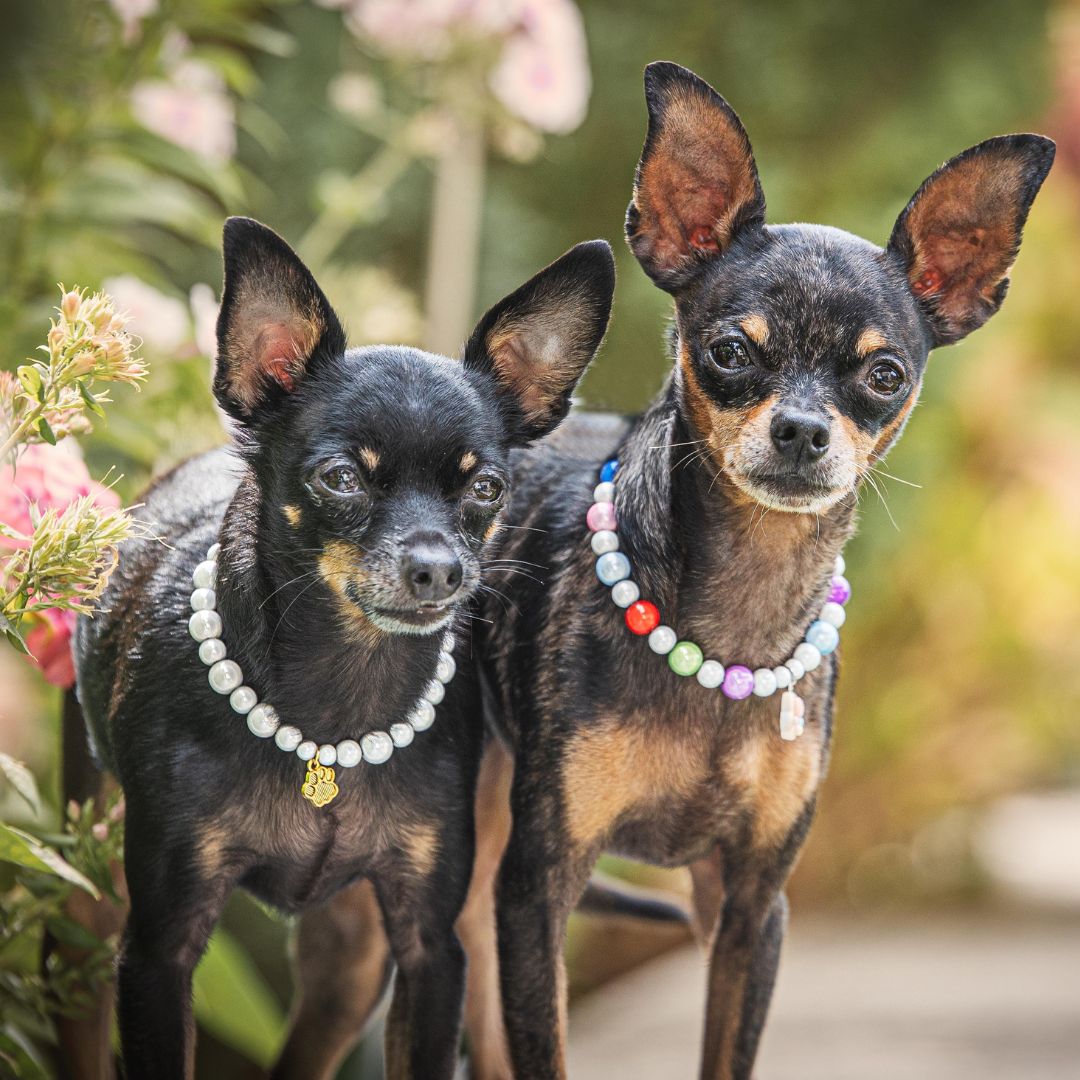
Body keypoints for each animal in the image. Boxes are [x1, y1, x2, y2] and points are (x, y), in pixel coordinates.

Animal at [73, 219, 617, 1080]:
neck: (337, 703)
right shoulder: (159, 953)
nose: (439, 568)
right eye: (340, 479)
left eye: (487, 489)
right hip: (90, 897)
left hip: (352, 966)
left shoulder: (432, 951)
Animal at [466, 61, 1054, 1080]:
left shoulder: (749, 907)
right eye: (731, 352)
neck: (733, 627)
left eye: (886, 376)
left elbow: (725, 1054)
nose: (803, 430)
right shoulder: (538, 893)